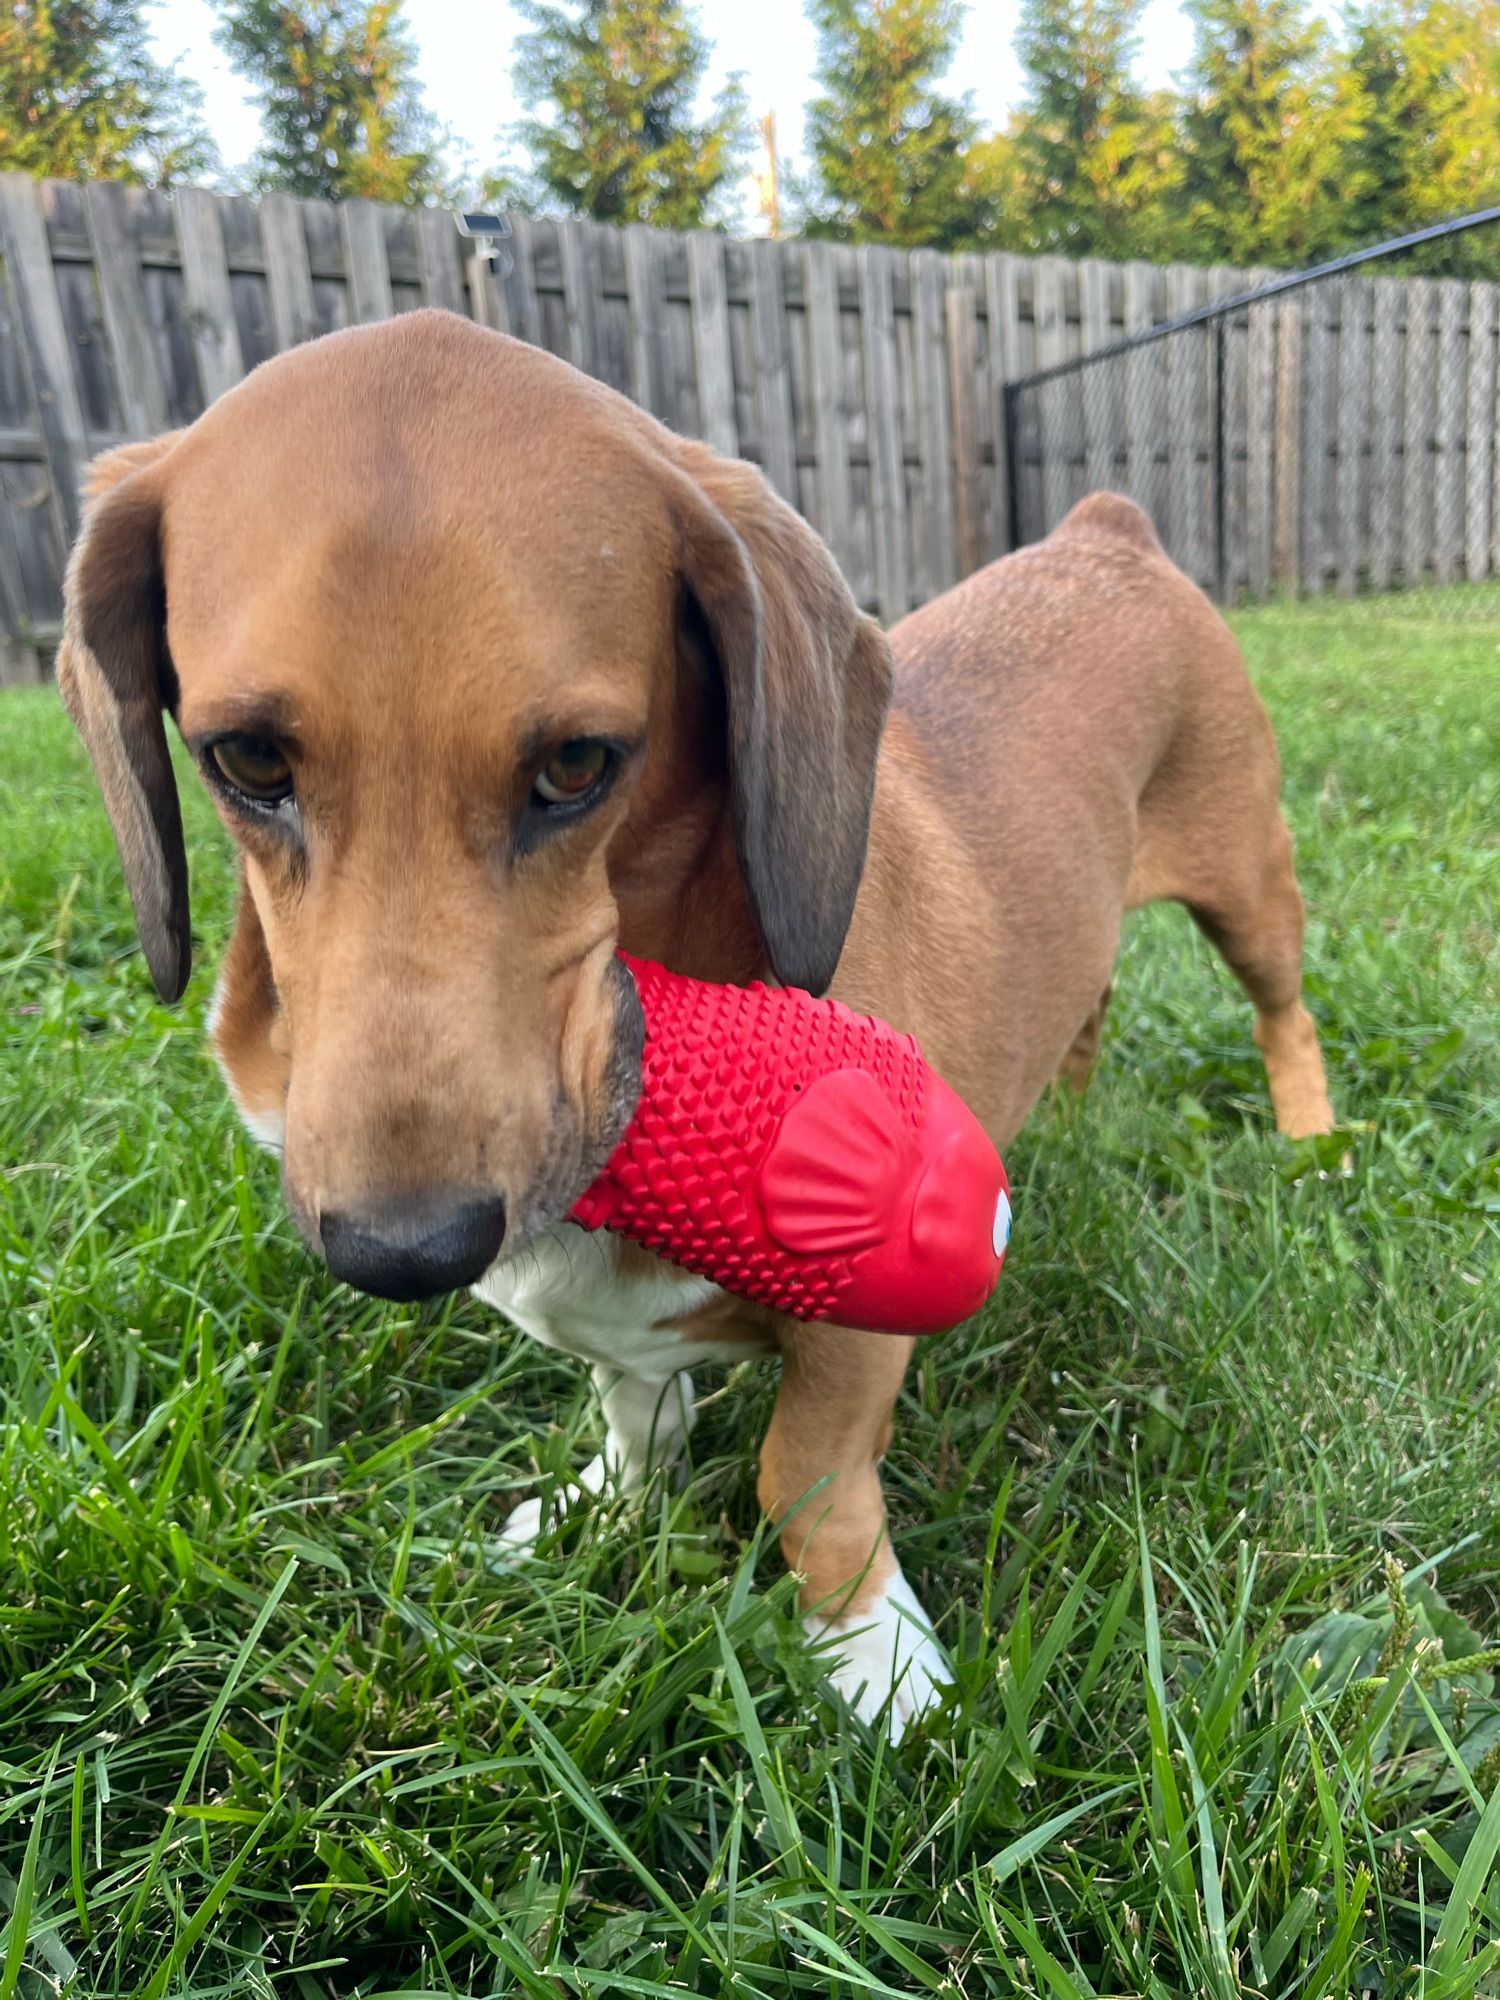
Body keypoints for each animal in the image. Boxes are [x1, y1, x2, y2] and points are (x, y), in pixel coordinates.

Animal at [58, 308, 1336, 1736]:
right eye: (247, 761)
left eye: (577, 763)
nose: (405, 1252)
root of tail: (1108, 530)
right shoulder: (624, 1342)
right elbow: (638, 1416)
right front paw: (608, 1511)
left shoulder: (854, 1337)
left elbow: (805, 1479)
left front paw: (874, 1659)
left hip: (1250, 887)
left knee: (1285, 1011)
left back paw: (1311, 1138)